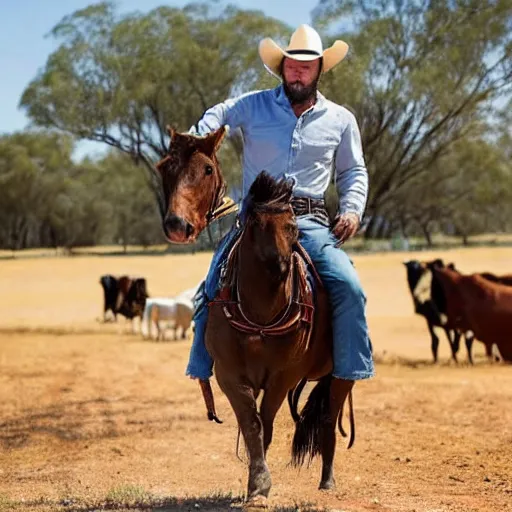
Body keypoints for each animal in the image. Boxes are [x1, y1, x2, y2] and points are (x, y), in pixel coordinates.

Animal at [156, 127, 356, 508]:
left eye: (293, 226)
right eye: (165, 168)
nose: (177, 225)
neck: (261, 312)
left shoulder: (282, 376)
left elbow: (266, 422)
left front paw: (260, 485)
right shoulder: (229, 375)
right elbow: (251, 425)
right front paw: (256, 483)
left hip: (341, 373)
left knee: (329, 414)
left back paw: (328, 480)